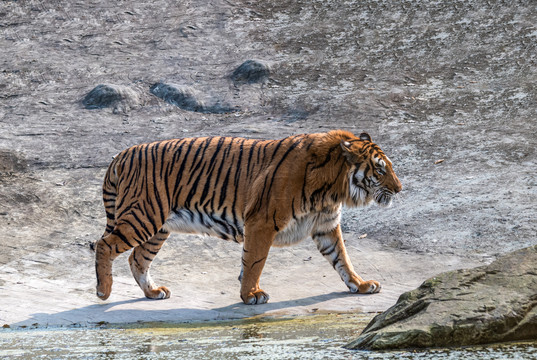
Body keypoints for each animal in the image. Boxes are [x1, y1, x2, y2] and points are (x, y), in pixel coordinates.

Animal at [93, 129, 402, 304]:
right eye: (380, 169)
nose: (400, 189)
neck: (332, 187)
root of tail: (121, 154)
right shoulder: (262, 222)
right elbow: (255, 261)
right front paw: (251, 295)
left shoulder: (325, 226)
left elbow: (343, 260)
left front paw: (361, 285)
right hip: (143, 217)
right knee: (104, 245)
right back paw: (104, 291)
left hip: (158, 228)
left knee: (137, 259)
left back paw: (153, 292)